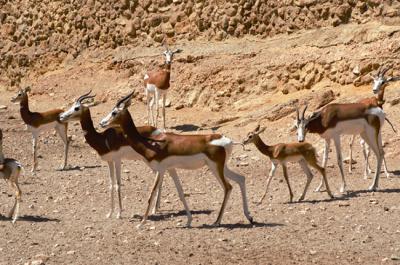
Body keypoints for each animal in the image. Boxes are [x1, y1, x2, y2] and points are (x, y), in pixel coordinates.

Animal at [99, 91, 253, 227]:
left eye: (114, 112)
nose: (102, 123)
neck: (151, 143)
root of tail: (229, 141)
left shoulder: (160, 169)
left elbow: (151, 194)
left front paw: (141, 224)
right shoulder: (171, 169)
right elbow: (181, 193)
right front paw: (189, 221)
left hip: (215, 167)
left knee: (228, 187)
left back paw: (217, 221)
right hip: (222, 167)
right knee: (241, 179)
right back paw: (249, 217)